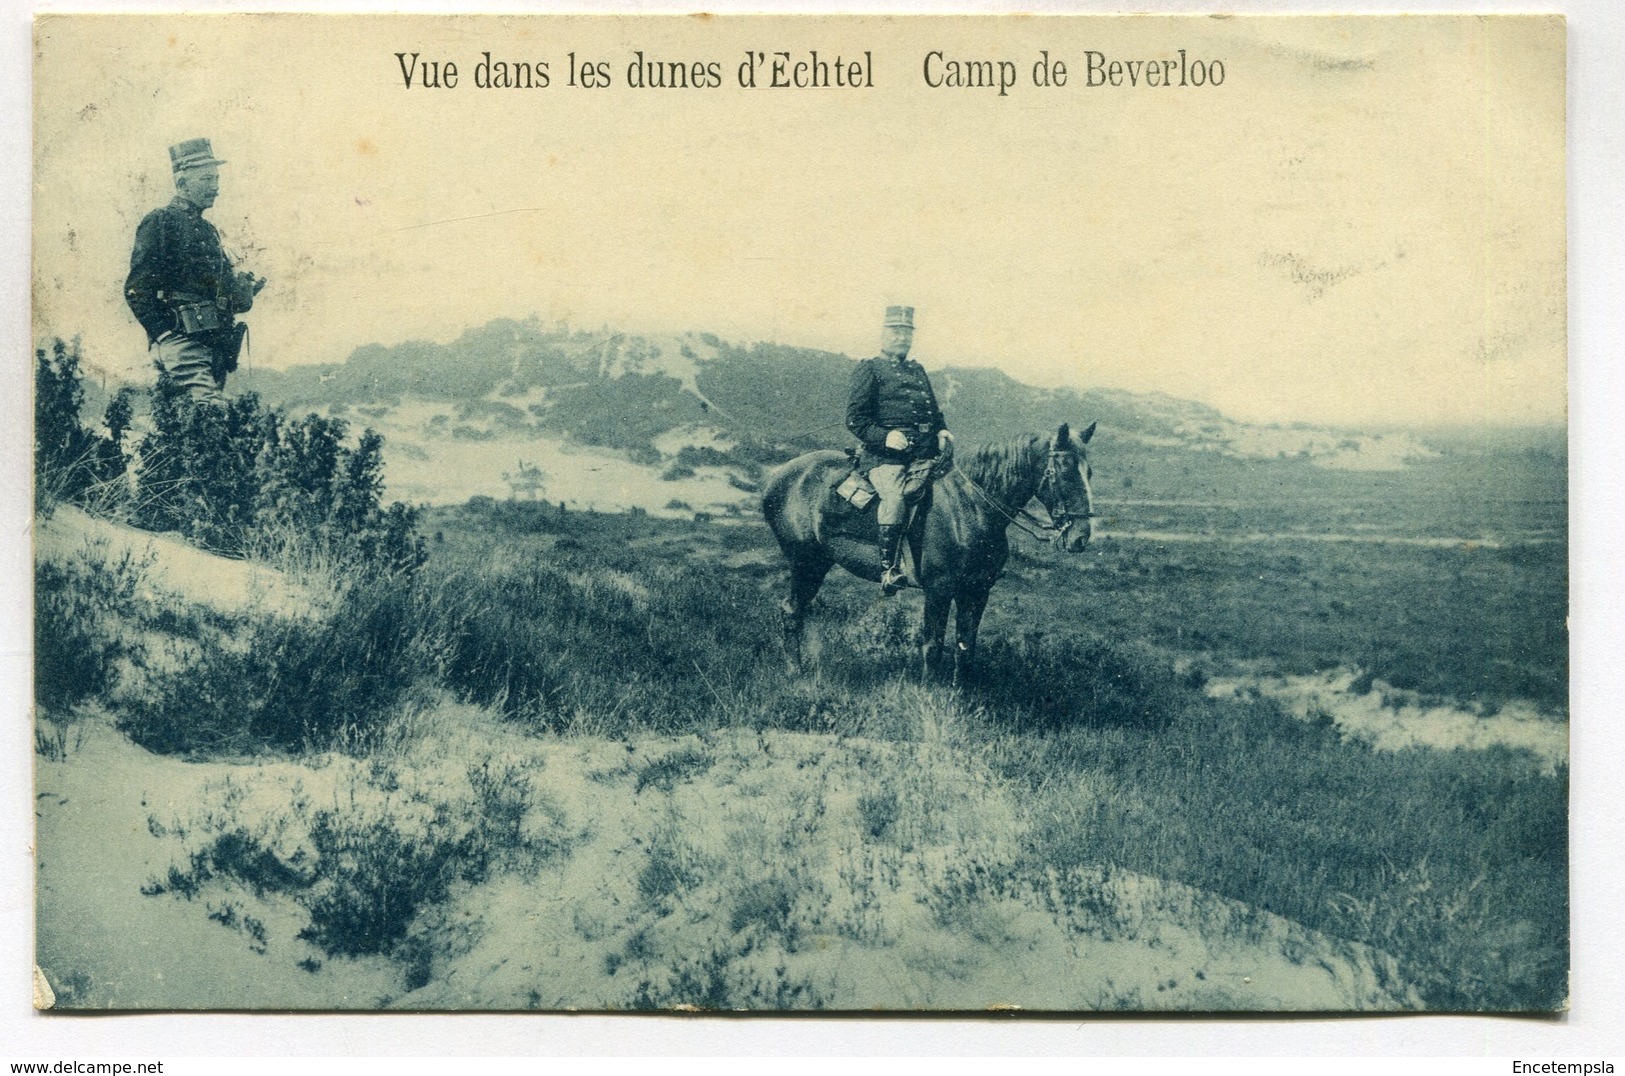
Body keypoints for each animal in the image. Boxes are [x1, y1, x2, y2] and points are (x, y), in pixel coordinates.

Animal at [763, 422, 1098, 682]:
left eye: (1090, 472)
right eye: (1065, 471)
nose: (1081, 537)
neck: (971, 508)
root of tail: (779, 475)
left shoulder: (977, 590)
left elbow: (966, 647)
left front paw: (960, 697)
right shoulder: (939, 590)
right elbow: (932, 646)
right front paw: (930, 694)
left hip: (818, 563)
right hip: (805, 562)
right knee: (790, 610)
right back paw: (795, 672)